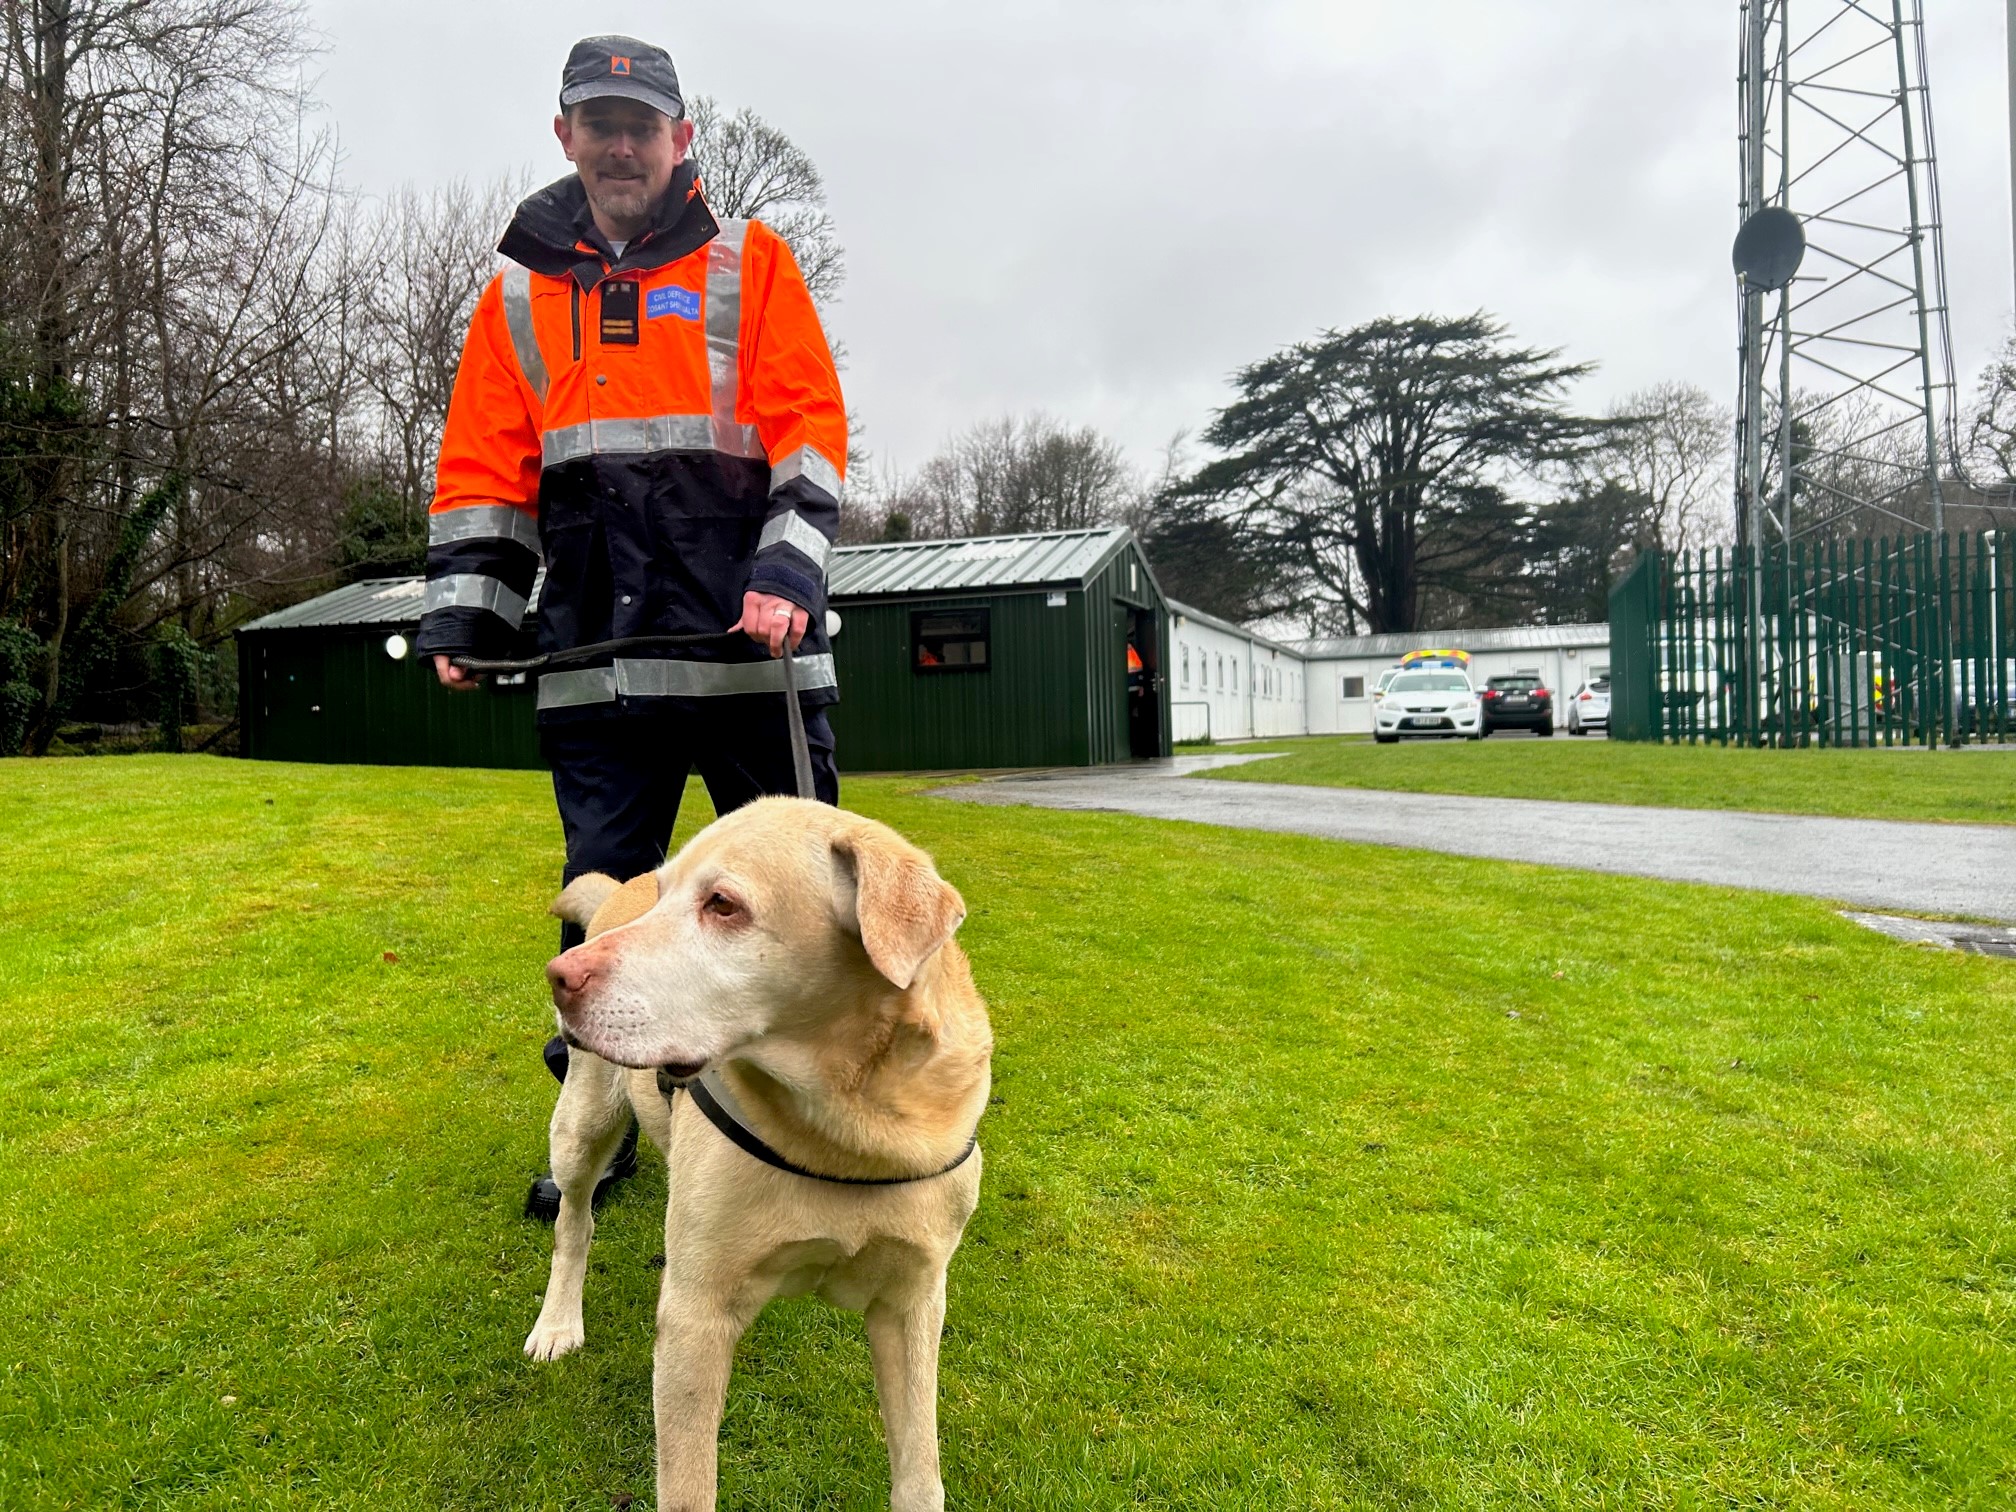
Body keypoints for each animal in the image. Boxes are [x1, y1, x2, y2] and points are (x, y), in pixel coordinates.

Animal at [520, 798, 991, 1507]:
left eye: (723, 904)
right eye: (665, 895)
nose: (559, 978)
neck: (847, 1130)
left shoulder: (913, 1302)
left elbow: (919, 1473)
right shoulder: (694, 1317)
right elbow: (688, 1487)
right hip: (582, 1123)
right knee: (574, 1223)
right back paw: (556, 1324)